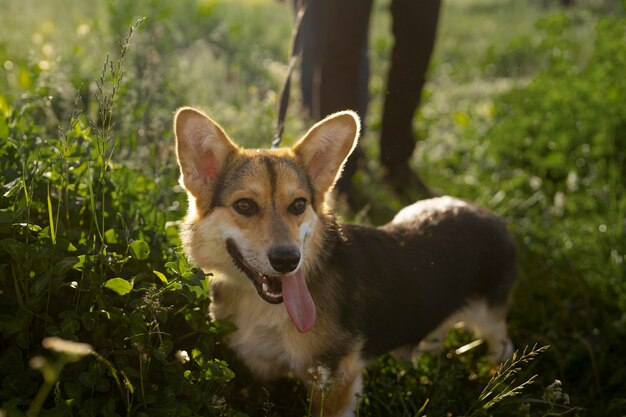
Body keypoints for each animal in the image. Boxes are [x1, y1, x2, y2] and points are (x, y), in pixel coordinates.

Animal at [173, 108, 516, 416]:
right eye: (244, 206)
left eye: (298, 205)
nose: (288, 260)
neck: (264, 310)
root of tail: (486, 212)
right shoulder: (261, 370)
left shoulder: (335, 379)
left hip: (488, 317)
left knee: (502, 342)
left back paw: (498, 377)